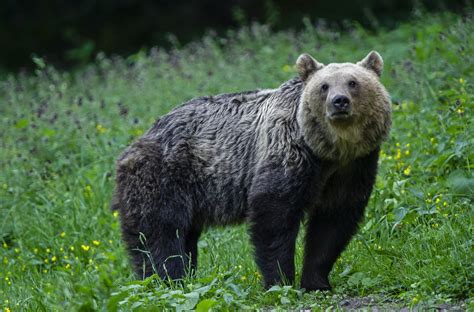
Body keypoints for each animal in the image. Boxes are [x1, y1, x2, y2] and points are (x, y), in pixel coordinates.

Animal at [112, 50, 392, 292]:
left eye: (353, 82)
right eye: (324, 86)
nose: (339, 102)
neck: (329, 152)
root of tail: (138, 140)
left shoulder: (353, 168)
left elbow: (333, 223)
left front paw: (317, 282)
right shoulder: (289, 153)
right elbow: (274, 214)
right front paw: (280, 280)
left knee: (184, 236)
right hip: (162, 175)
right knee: (159, 235)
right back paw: (170, 281)